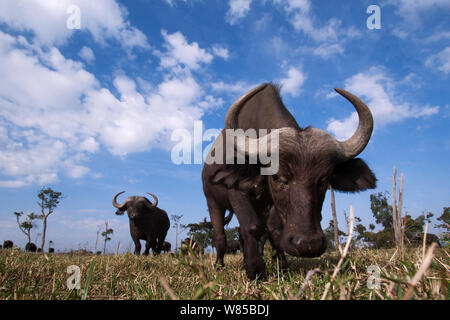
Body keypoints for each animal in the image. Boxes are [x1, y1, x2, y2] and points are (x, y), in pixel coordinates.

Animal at [201, 83, 376, 280]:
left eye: (324, 179)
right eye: (276, 177)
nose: (309, 244)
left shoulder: (272, 204)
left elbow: (273, 228)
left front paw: (282, 267)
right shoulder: (237, 193)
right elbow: (252, 226)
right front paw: (255, 270)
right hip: (213, 202)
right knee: (221, 236)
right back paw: (219, 266)